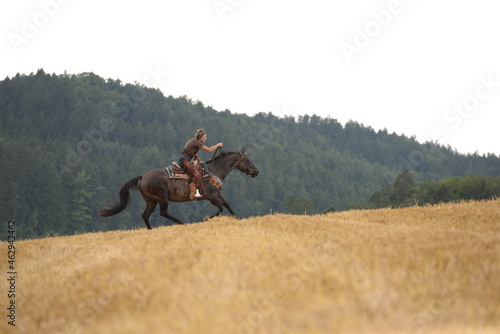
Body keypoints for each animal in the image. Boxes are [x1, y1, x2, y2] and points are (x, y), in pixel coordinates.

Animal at [99, 149, 260, 230]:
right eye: (248, 160)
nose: (256, 172)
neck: (214, 171)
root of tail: (143, 176)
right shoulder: (211, 196)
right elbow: (220, 208)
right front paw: (206, 219)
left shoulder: (217, 195)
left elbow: (227, 205)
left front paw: (237, 218)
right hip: (162, 196)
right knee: (163, 212)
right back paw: (182, 223)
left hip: (151, 200)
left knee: (145, 215)